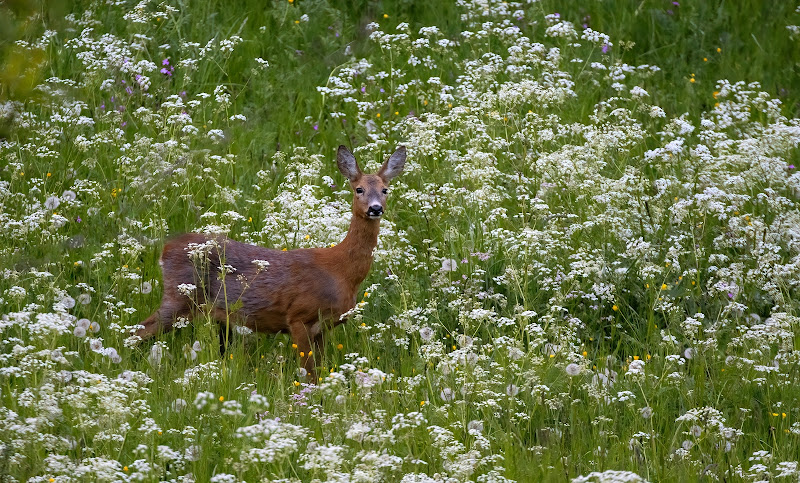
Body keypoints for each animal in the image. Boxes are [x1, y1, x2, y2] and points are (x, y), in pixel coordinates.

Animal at [135, 144, 406, 382]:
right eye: (359, 189)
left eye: (385, 190)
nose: (375, 208)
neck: (341, 272)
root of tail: (165, 249)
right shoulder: (299, 316)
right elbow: (309, 375)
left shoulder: (323, 328)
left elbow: (319, 371)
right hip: (180, 298)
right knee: (138, 330)